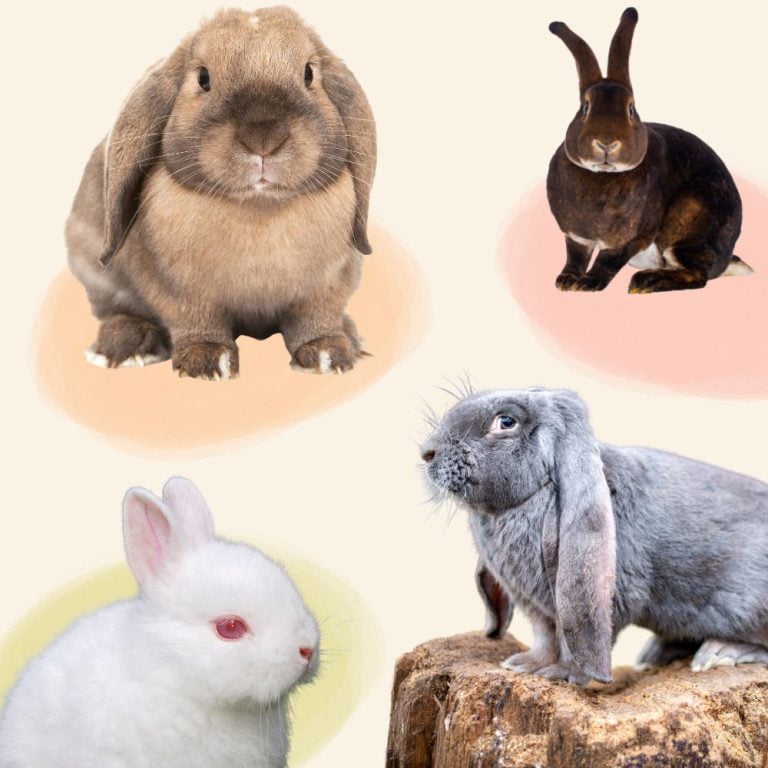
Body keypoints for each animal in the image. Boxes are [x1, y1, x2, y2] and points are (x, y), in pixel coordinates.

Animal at [66, 6, 376, 380]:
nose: (263, 138)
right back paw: (128, 346)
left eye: (308, 74)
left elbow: (315, 319)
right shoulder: (180, 291)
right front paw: (208, 361)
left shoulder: (326, 287)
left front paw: (327, 354)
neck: (259, 208)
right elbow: (195, 320)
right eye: (203, 77)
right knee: (116, 312)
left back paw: (350, 337)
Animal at [420, 387, 768, 685]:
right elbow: (544, 636)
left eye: (506, 421)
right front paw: (524, 665)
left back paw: (719, 652)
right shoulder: (535, 606)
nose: (427, 452)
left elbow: (572, 637)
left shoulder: (596, 599)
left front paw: (561, 674)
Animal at [547, 7, 750, 294]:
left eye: (631, 109)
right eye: (585, 108)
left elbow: (608, 261)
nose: (606, 143)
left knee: (697, 276)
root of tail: (727, 258)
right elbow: (575, 257)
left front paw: (588, 284)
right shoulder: (577, 238)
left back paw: (646, 282)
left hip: (690, 218)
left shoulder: (632, 238)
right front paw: (565, 281)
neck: (603, 175)